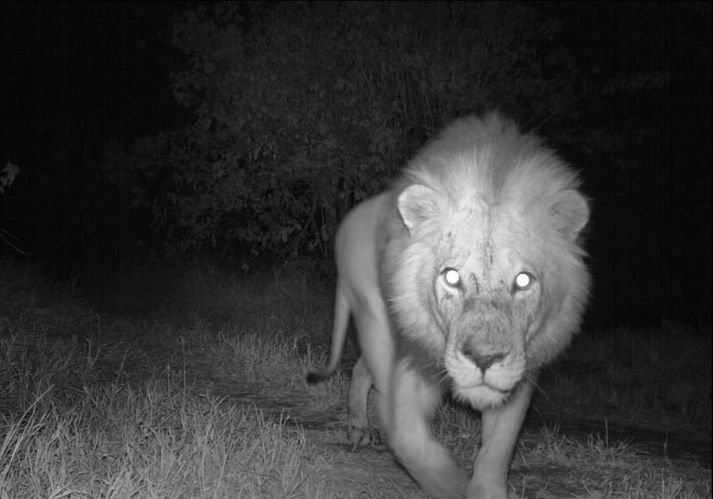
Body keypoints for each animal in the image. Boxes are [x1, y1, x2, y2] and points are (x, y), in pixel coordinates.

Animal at [306, 114, 588, 499]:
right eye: (452, 277)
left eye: (523, 281)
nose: (484, 359)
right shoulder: (413, 354)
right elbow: (409, 437)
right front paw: (447, 482)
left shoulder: (522, 370)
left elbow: (497, 450)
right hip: (374, 317)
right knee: (373, 372)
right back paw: (361, 426)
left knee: (363, 368)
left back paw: (359, 427)